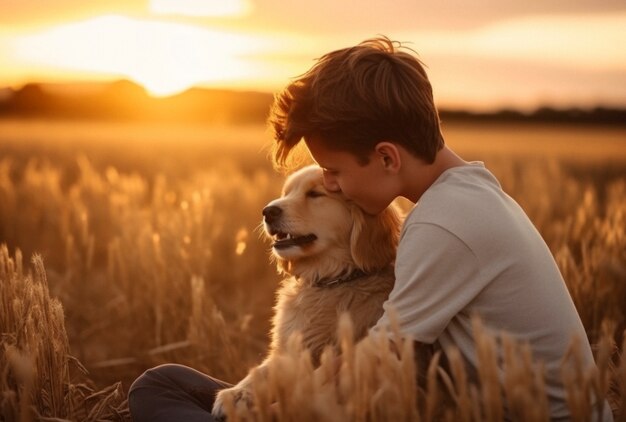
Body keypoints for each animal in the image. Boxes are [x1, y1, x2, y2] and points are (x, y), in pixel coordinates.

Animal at [212, 165, 400, 416]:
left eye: (315, 194)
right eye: (286, 193)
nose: (267, 211)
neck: (330, 281)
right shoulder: (290, 350)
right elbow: (262, 371)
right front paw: (236, 395)